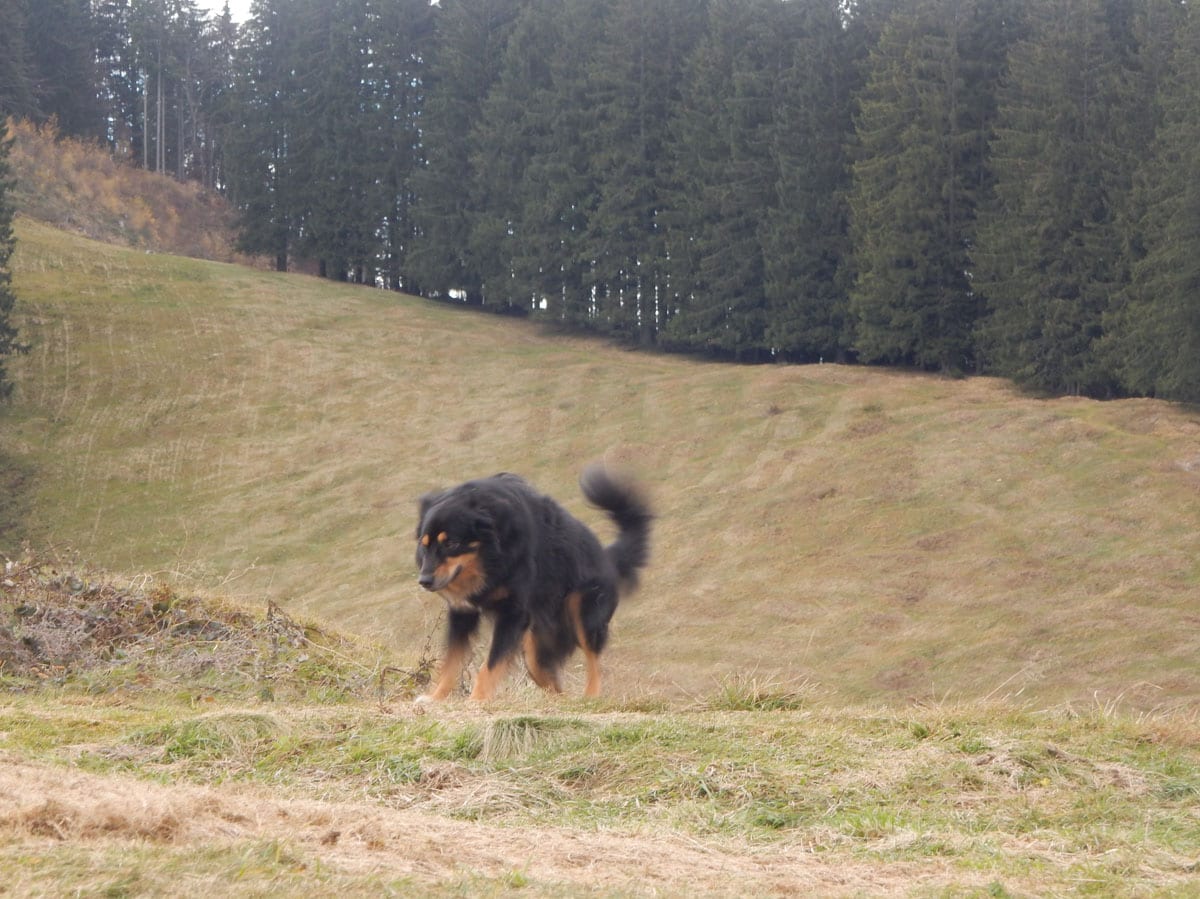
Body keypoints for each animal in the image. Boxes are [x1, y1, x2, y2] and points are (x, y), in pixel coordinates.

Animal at [413, 464, 652, 701]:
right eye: (424, 544)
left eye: (451, 544)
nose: (424, 581)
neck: (490, 555)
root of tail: (607, 558)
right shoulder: (462, 612)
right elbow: (451, 662)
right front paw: (436, 698)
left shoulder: (512, 612)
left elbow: (490, 665)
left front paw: (477, 700)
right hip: (535, 650)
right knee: (553, 683)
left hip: (585, 614)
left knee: (593, 661)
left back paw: (591, 697)